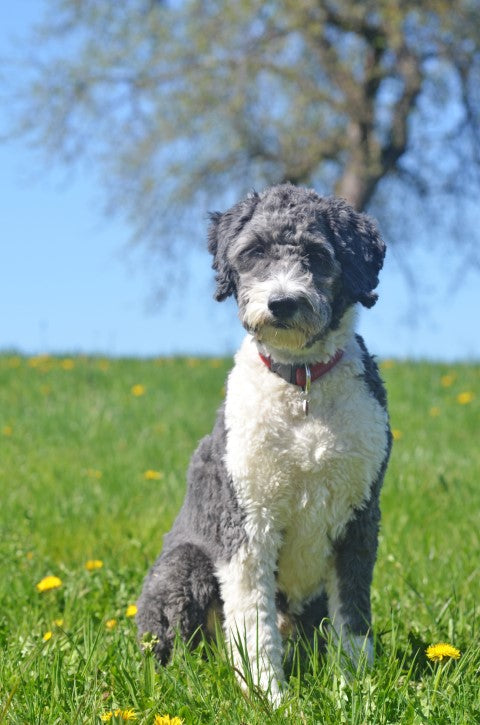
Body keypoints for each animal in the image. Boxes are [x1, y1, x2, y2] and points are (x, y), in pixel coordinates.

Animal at [137, 184, 392, 704]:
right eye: (254, 251)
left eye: (316, 254)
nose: (283, 302)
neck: (302, 387)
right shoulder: (247, 520)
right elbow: (254, 623)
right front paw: (269, 697)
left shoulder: (360, 516)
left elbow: (353, 617)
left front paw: (355, 691)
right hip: (184, 567)